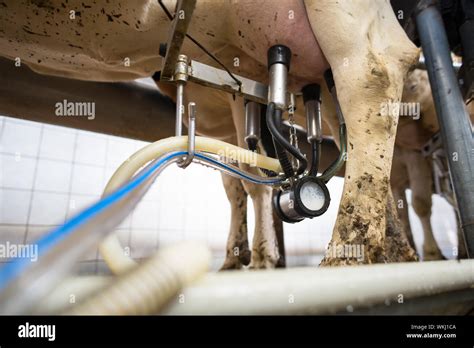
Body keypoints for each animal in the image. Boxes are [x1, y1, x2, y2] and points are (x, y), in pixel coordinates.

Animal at [0, 0, 418, 270]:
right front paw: (238, 256)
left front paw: (261, 257)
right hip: (309, 72)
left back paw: (346, 256)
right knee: (347, 129)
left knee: (373, 78)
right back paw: (395, 253)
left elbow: (250, 181)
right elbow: (238, 179)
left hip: (344, 24)